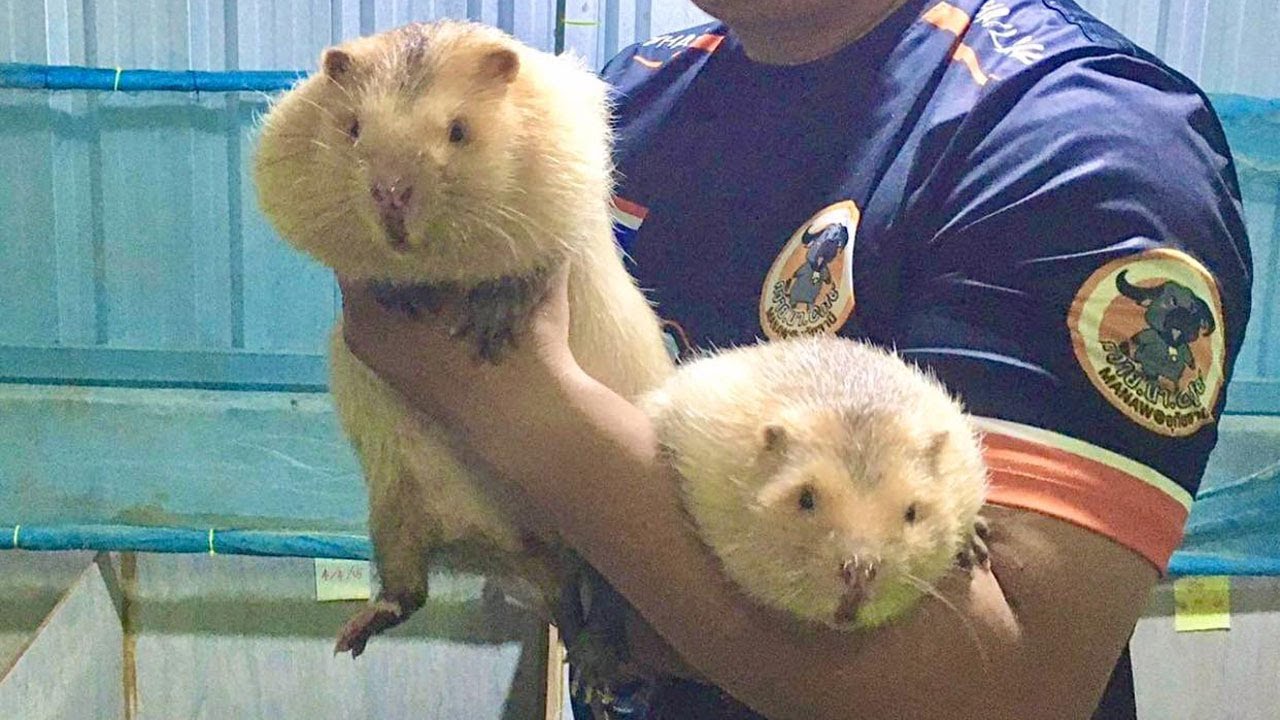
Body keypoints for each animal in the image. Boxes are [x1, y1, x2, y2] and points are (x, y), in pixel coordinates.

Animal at [252, 20, 674, 656]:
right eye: (354, 128)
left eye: (458, 130)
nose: (391, 194)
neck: (441, 265)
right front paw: (406, 297)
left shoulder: (561, 212)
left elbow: (532, 265)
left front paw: (484, 328)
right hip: (398, 509)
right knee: (424, 591)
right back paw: (354, 635)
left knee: (588, 602)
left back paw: (601, 655)